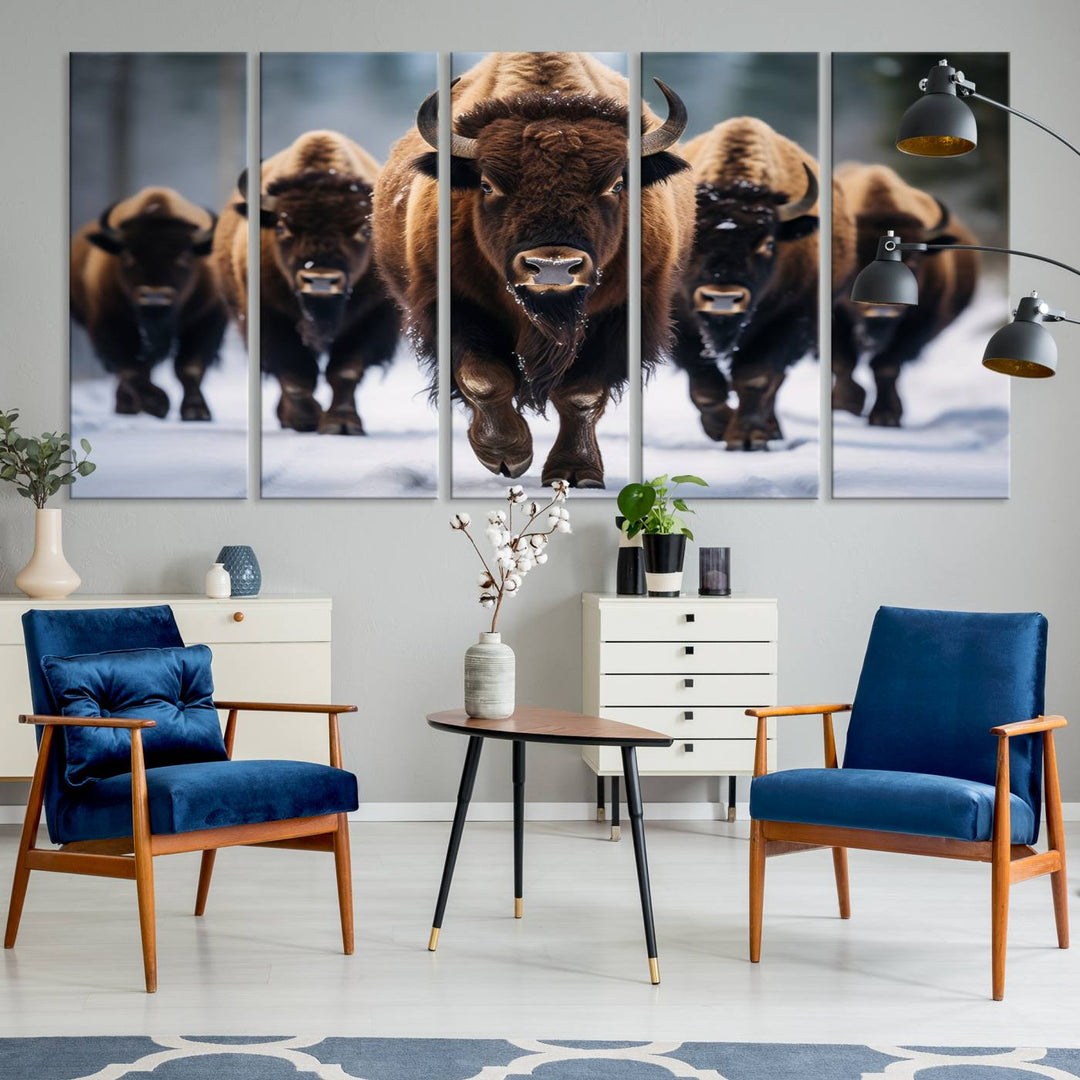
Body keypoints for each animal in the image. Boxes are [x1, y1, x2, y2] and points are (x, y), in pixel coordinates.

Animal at [69, 187, 225, 419]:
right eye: (127, 256)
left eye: (185, 256)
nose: (154, 297)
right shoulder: (110, 324)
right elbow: (132, 369)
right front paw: (157, 404)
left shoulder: (206, 320)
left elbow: (189, 368)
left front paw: (196, 411)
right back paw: (126, 406)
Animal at [212, 132, 399, 436]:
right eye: (281, 227)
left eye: (364, 229)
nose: (320, 279)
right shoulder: (269, 317)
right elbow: (296, 371)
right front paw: (306, 419)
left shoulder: (372, 318)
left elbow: (345, 370)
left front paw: (342, 423)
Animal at [371, 53, 691, 486]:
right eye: (487, 185)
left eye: (616, 184)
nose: (553, 266)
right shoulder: (454, 304)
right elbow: (483, 377)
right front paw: (507, 455)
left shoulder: (622, 313)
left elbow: (582, 393)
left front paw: (576, 471)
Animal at [669, 119, 820, 451]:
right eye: (692, 239)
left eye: (768, 243)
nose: (723, 299)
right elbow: (706, 387)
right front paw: (720, 428)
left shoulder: (788, 321)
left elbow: (756, 379)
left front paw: (747, 437)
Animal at [829, 164, 976, 425]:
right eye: (853, 259)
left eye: (915, 259)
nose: (881, 312)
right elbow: (844, 362)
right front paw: (846, 405)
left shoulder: (916, 325)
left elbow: (886, 367)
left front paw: (886, 416)